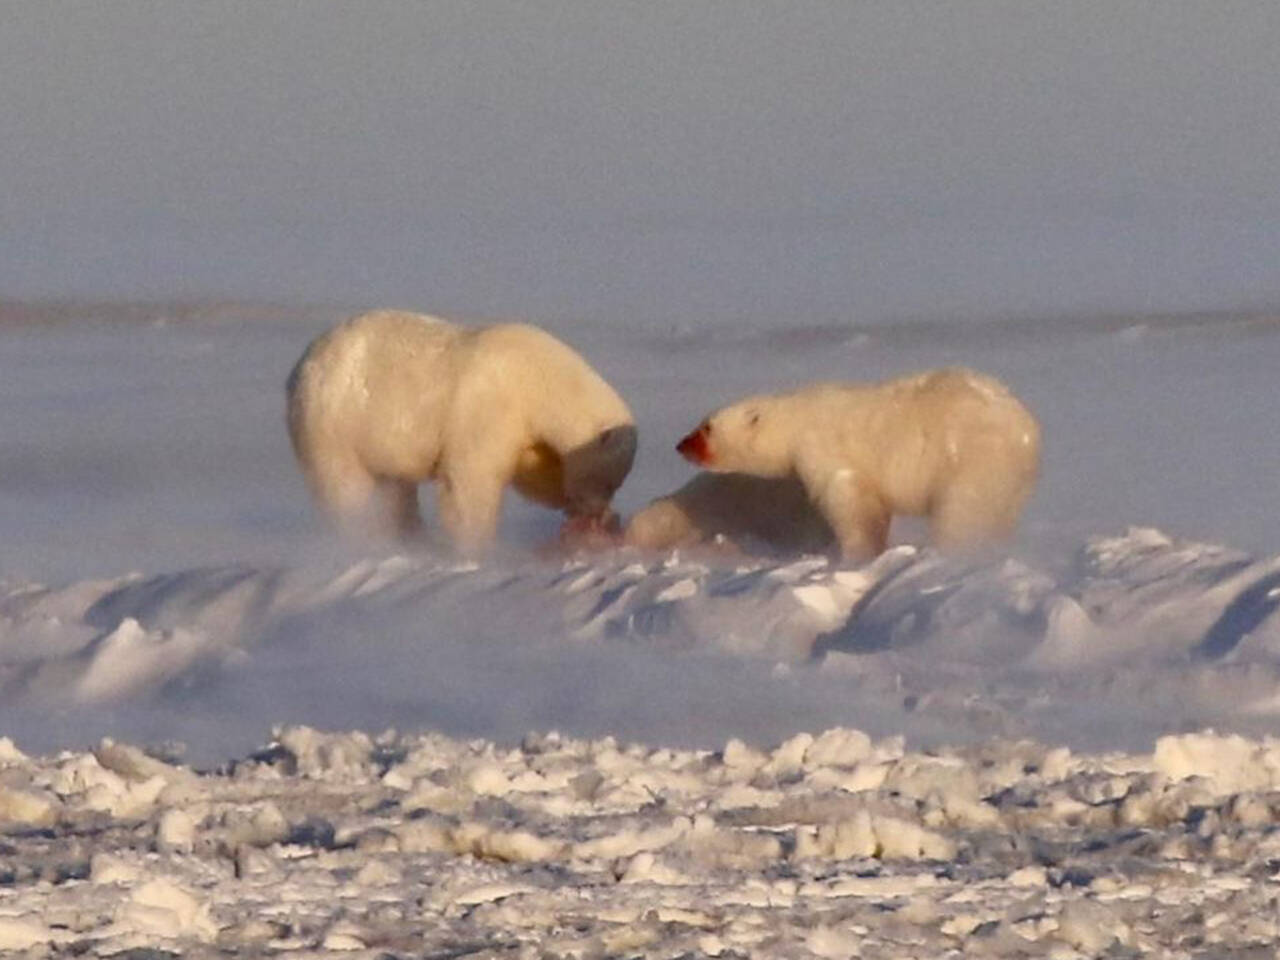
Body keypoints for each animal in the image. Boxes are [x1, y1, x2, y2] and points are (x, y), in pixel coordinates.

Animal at [285, 313, 634, 555]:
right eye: (609, 482)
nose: (598, 513)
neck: (541, 376)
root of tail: (298, 368)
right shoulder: (493, 405)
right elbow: (472, 478)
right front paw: (478, 546)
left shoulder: (524, 425)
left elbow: (535, 472)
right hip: (335, 423)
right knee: (345, 487)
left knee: (395, 489)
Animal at [675, 368, 1034, 563]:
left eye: (707, 427)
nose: (681, 445)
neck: (796, 420)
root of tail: (1028, 432)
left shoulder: (825, 448)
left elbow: (851, 502)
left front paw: (855, 555)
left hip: (973, 459)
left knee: (963, 512)